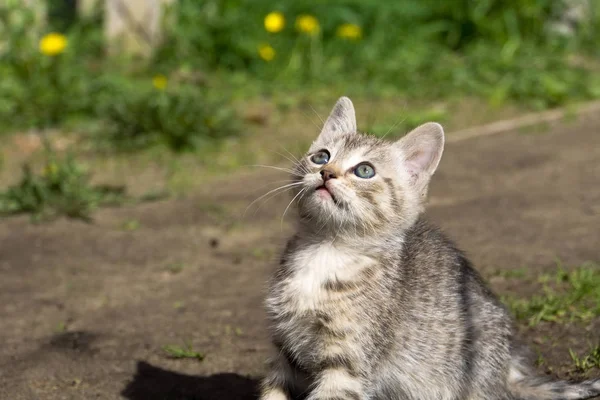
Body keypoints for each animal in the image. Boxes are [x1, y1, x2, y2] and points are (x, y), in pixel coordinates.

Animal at [258, 97, 600, 400]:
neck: (325, 249)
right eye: (321, 156)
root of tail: (506, 370)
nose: (326, 173)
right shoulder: (285, 353)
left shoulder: (349, 364)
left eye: (365, 170)